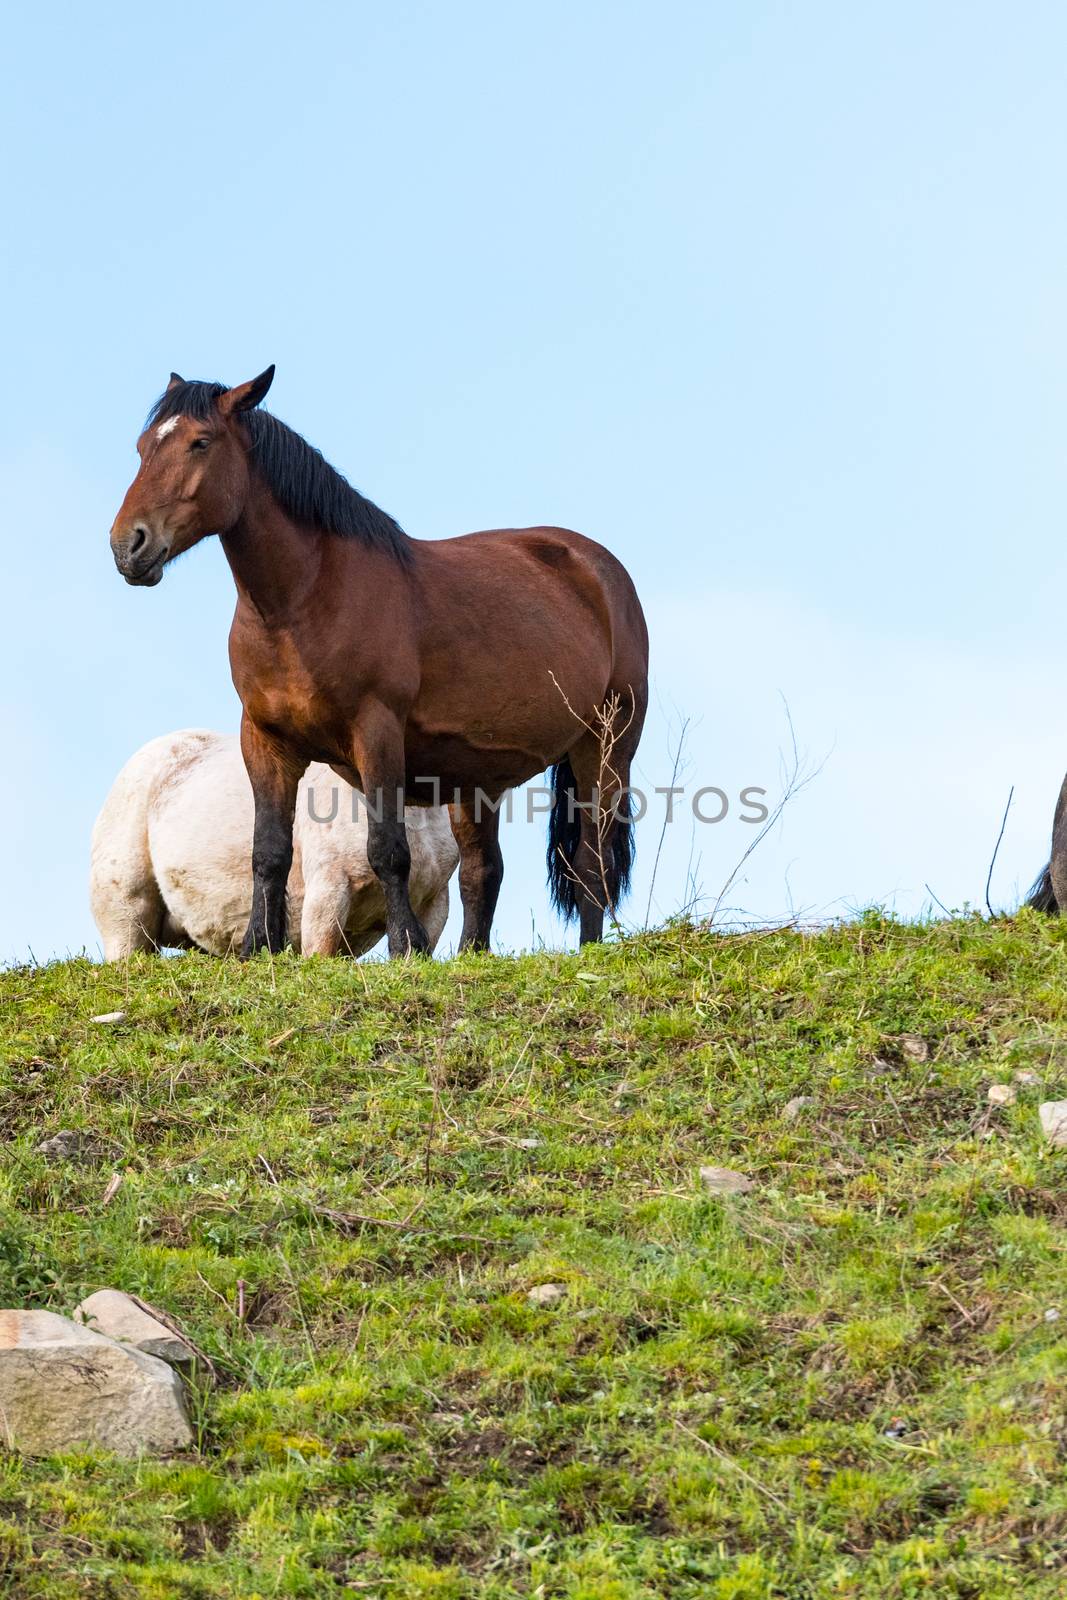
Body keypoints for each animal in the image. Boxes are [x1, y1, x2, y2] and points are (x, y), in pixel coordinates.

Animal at [108, 368, 652, 953]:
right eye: (142, 447)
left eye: (200, 443)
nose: (128, 545)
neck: (308, 599)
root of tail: (598, 569)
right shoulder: (265, 741)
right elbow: (269, 851)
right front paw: (259, 946)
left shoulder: (377, 732)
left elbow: (388, 850)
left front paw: (405, 945)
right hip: (476, 780)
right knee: (483, 872)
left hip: (605, 749)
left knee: (590, 861)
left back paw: (589, 947)